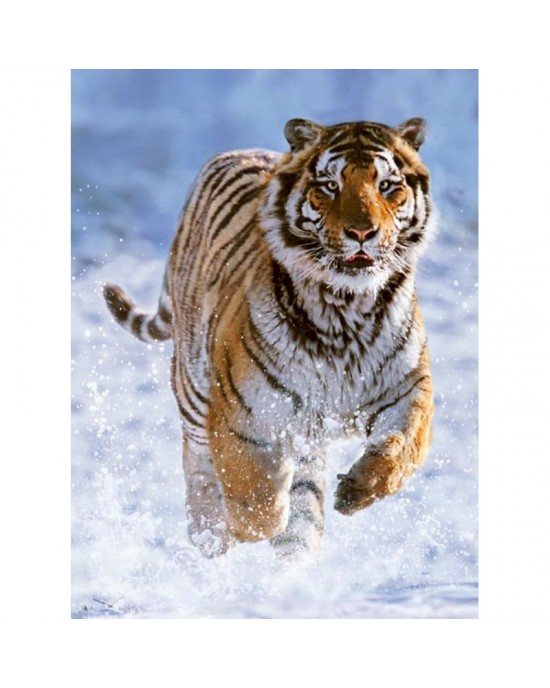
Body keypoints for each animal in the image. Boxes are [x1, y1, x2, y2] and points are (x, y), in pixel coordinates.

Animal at [103, 117, 435, 559]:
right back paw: (209, 536)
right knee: (198, 464)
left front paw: (356, 490)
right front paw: (236, 527)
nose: (362, 232)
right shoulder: (241, 415)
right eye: (330, 185)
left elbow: (405, 447)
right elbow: (258, 506)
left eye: (386, 186)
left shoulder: (408, 388)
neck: (345, 310)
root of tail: (236, 151)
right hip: (193, 390)